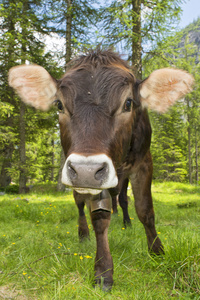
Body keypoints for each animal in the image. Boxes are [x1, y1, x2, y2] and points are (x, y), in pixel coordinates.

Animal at [9, 49, 194, 290]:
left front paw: (157, 251)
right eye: (59, 105)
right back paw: (83, 233)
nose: (86, 170)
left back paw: (125, 221)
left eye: (128, 103)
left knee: (121, 198)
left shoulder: (144, 161)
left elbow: (145, 210)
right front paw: (104, 271)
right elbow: (98, 218)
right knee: (80, 204)